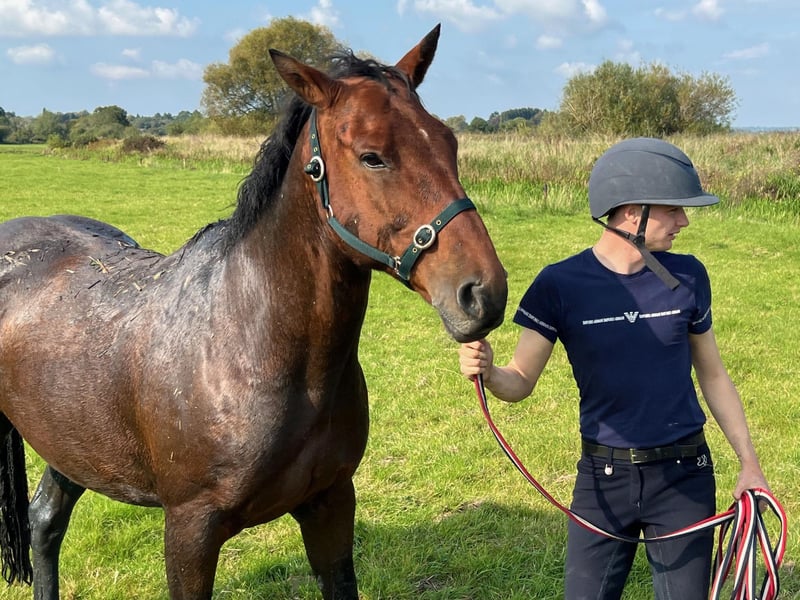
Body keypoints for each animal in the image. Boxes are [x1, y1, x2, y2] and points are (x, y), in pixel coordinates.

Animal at [0, 25, 507, 599]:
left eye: (449, 142)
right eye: (372, 156)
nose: (482, 293)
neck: (248, 345)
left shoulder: (332, 506)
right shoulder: (189, 531)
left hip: (72, 445)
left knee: (45, 521)